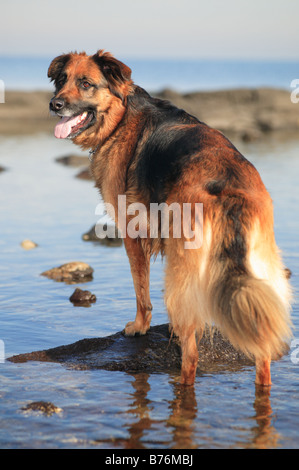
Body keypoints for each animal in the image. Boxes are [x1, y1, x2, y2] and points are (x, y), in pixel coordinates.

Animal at [48, 49, 292, 388]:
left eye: (85, 83)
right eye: (62, 80)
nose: (54, 104)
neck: (120, 118)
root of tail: (228, 185)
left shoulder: (133, 235)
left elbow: (142, 292)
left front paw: (139, 327)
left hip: (181, 274)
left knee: (191, 355)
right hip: (261, 277)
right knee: (262, 353)